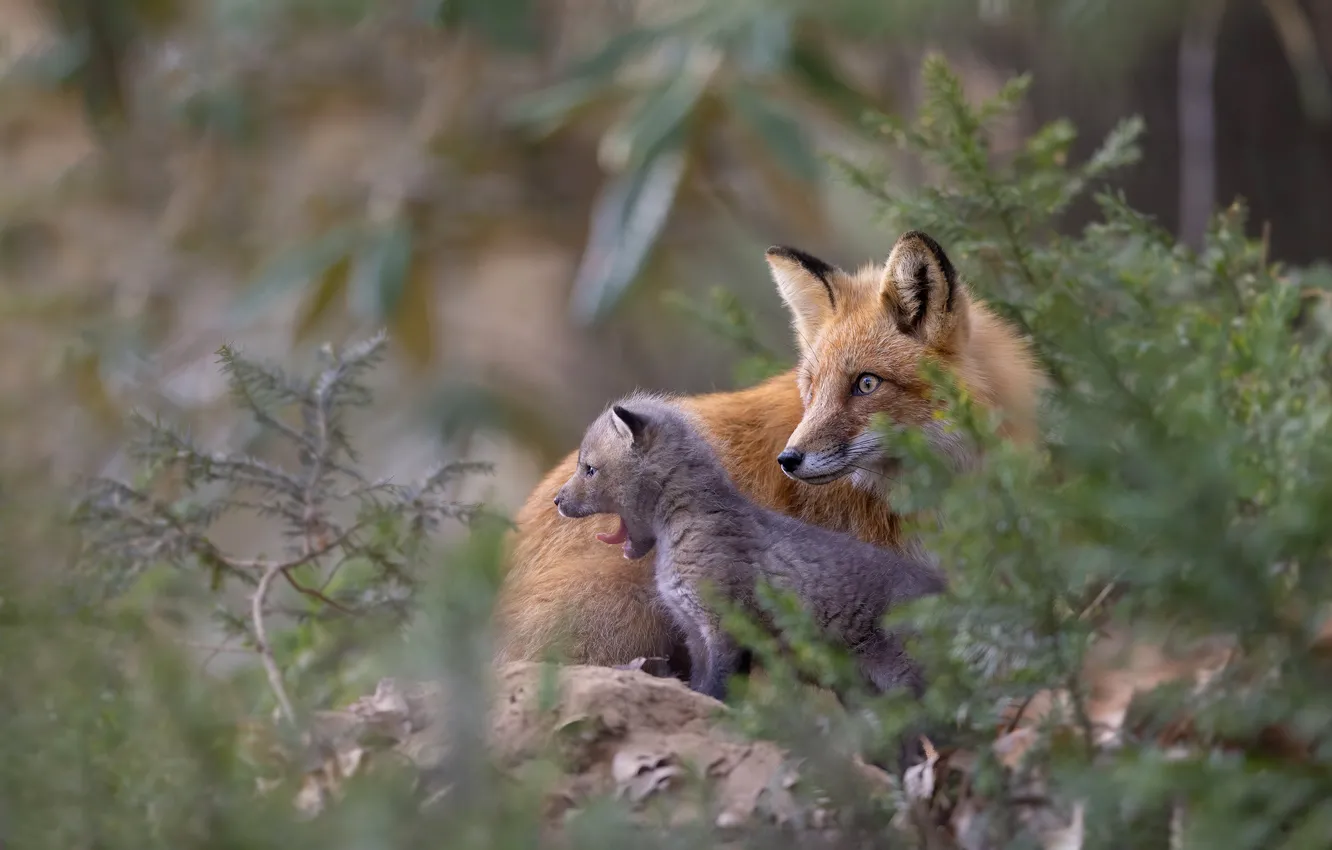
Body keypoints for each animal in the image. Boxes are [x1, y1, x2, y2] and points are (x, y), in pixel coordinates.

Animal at [552, 393, 947, 707]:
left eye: (589, 469)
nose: (557, 500)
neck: (684, 529)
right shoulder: (694, 633)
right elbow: (701, 685)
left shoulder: (725, 625)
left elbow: (716, 689)